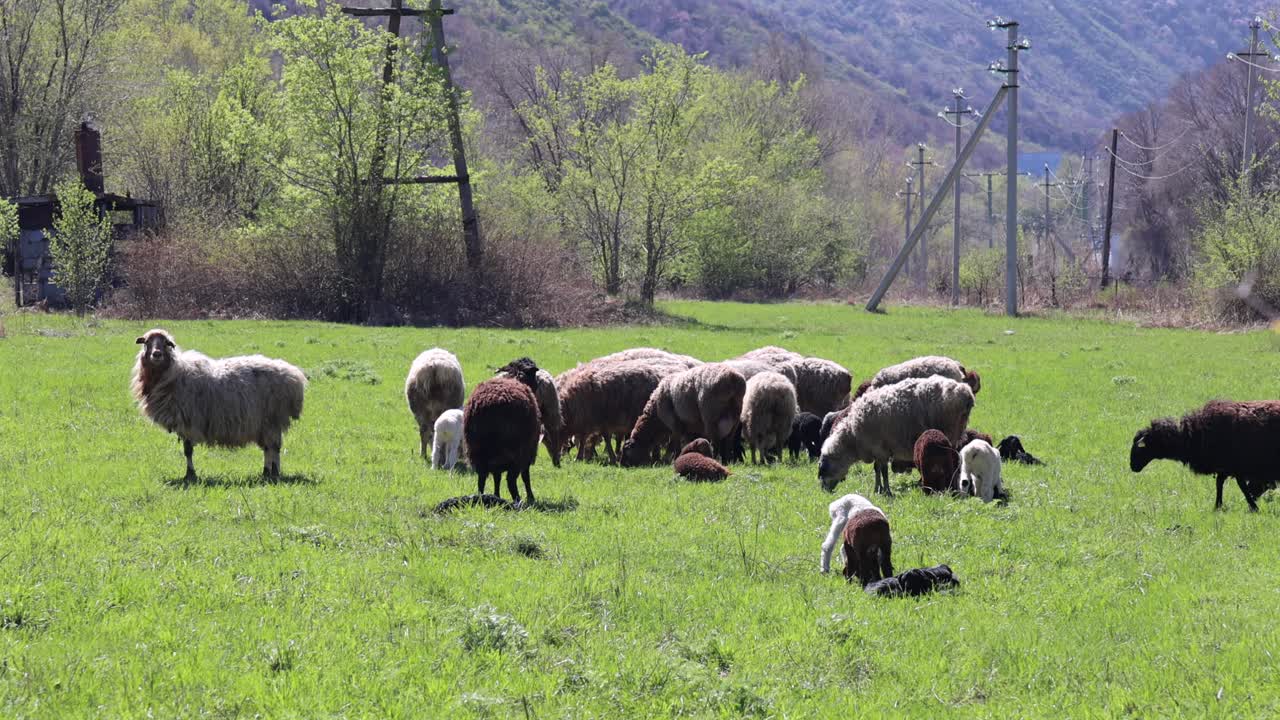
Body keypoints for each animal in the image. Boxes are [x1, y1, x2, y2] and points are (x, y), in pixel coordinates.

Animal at [131, 328, 306, 481]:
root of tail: (295, 376)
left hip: (273, 419)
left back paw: (274, 473)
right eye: (146, 342)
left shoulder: (187, 421)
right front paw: (190, 474)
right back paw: (266, 473)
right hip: (264, 423)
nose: (156, 354)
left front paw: (190, 475)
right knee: (268, 448)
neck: (173, 374)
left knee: (274, 448)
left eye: (166, 343)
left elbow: (188, 451)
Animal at [463, 376, 541, 506]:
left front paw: (496, 495)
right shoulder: (528, 451)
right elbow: (526, 476)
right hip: (516, 452)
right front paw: (531, 497)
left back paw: (480, 499)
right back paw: (517, 501)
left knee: (481, 479)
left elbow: (497, 478)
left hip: (478, 451)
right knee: (511, 481)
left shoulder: (496, 461)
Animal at [819, 376, 974, 496]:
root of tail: (966, 392)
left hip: (950, 432)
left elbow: (883, 471)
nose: (824, 491)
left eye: (823, 470)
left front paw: (886, 491)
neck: (852, 437)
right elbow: (877, 469)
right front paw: (878, 489)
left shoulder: (879, 448)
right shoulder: (878, 451)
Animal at [1130, 400, 1280, 511]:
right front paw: (1218, 507)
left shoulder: (1235, 466)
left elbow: (1241, 486)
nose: (1133, 467)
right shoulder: (1225, 467)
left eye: (1139, 450)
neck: (1191, 435)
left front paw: (1253, 507)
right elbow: (1220, 483)